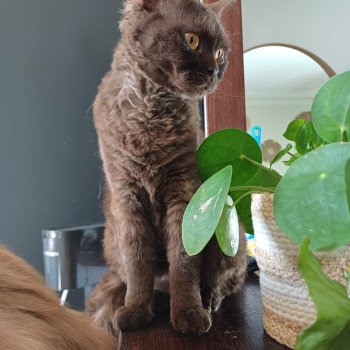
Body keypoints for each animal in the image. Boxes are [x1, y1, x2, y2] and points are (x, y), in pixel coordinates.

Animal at [87, 0, 246, 334]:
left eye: (220, 53)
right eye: (192, 40)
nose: (215, 71)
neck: (150, 107)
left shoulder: (183, 190)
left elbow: (184, 260)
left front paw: (188, 312)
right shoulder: (126, 196)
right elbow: (137, 264)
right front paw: (136, 309)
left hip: (227, 230)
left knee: (225, 280)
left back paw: (206, 301)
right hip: (111, 240)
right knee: (132, 276)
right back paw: (157, 300)